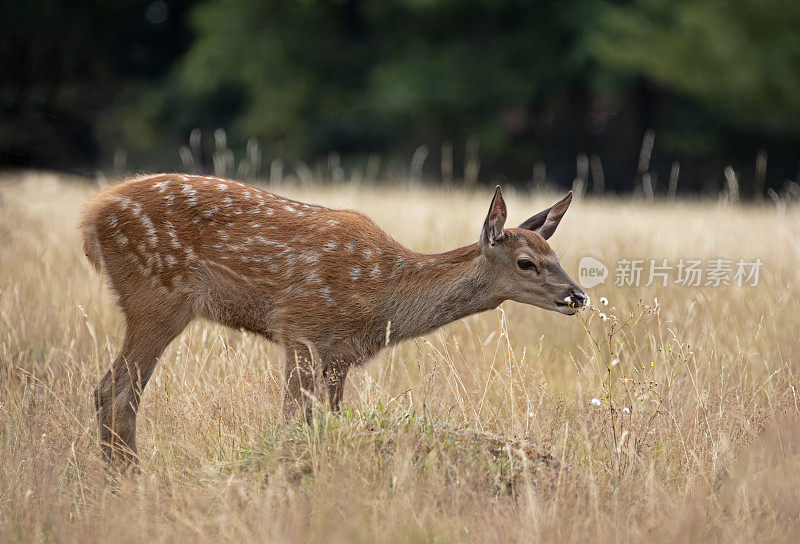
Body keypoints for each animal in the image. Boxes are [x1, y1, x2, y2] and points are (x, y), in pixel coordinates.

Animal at [78, 173, 584, 468]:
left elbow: (327, 422)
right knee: (115, 391)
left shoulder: (339, 355)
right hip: (156, 296)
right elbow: (293, 421)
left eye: (555, 254)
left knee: (113, 390)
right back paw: (128, 480)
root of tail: (90, 217)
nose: (577, 295)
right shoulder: (301, 327)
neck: (388, 298)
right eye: (525, 263)